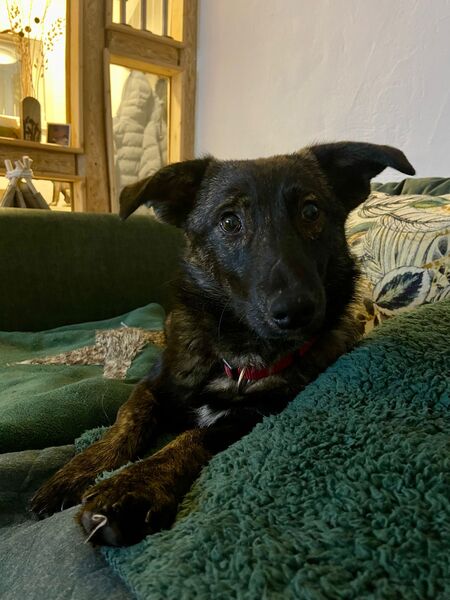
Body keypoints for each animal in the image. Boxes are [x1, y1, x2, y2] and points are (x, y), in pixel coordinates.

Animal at [30, 142, 415, 546]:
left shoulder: (256, 415)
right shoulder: (152, 386)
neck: (237, 351)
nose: (296, 310)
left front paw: (132, 487)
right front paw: (81, 469)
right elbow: (126, 421)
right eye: (229, 222)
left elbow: (193, 437)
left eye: (311, 211)